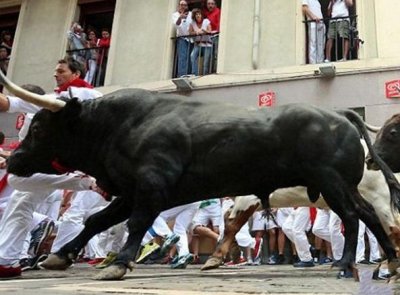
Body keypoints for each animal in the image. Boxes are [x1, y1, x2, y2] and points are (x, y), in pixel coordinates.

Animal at [5, 89, 400, 280]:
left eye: (38, 128)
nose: (12, 160)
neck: (119, 124)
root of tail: (340, 114)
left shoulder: (151, 185)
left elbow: (135, 224)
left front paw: (121, 263)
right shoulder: (130, 192)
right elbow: (96, 220)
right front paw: (59, 255)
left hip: (332, 184)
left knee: (353, 218)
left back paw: (345, 265)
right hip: (345, 186)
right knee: (370, 218)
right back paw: (390, 262)